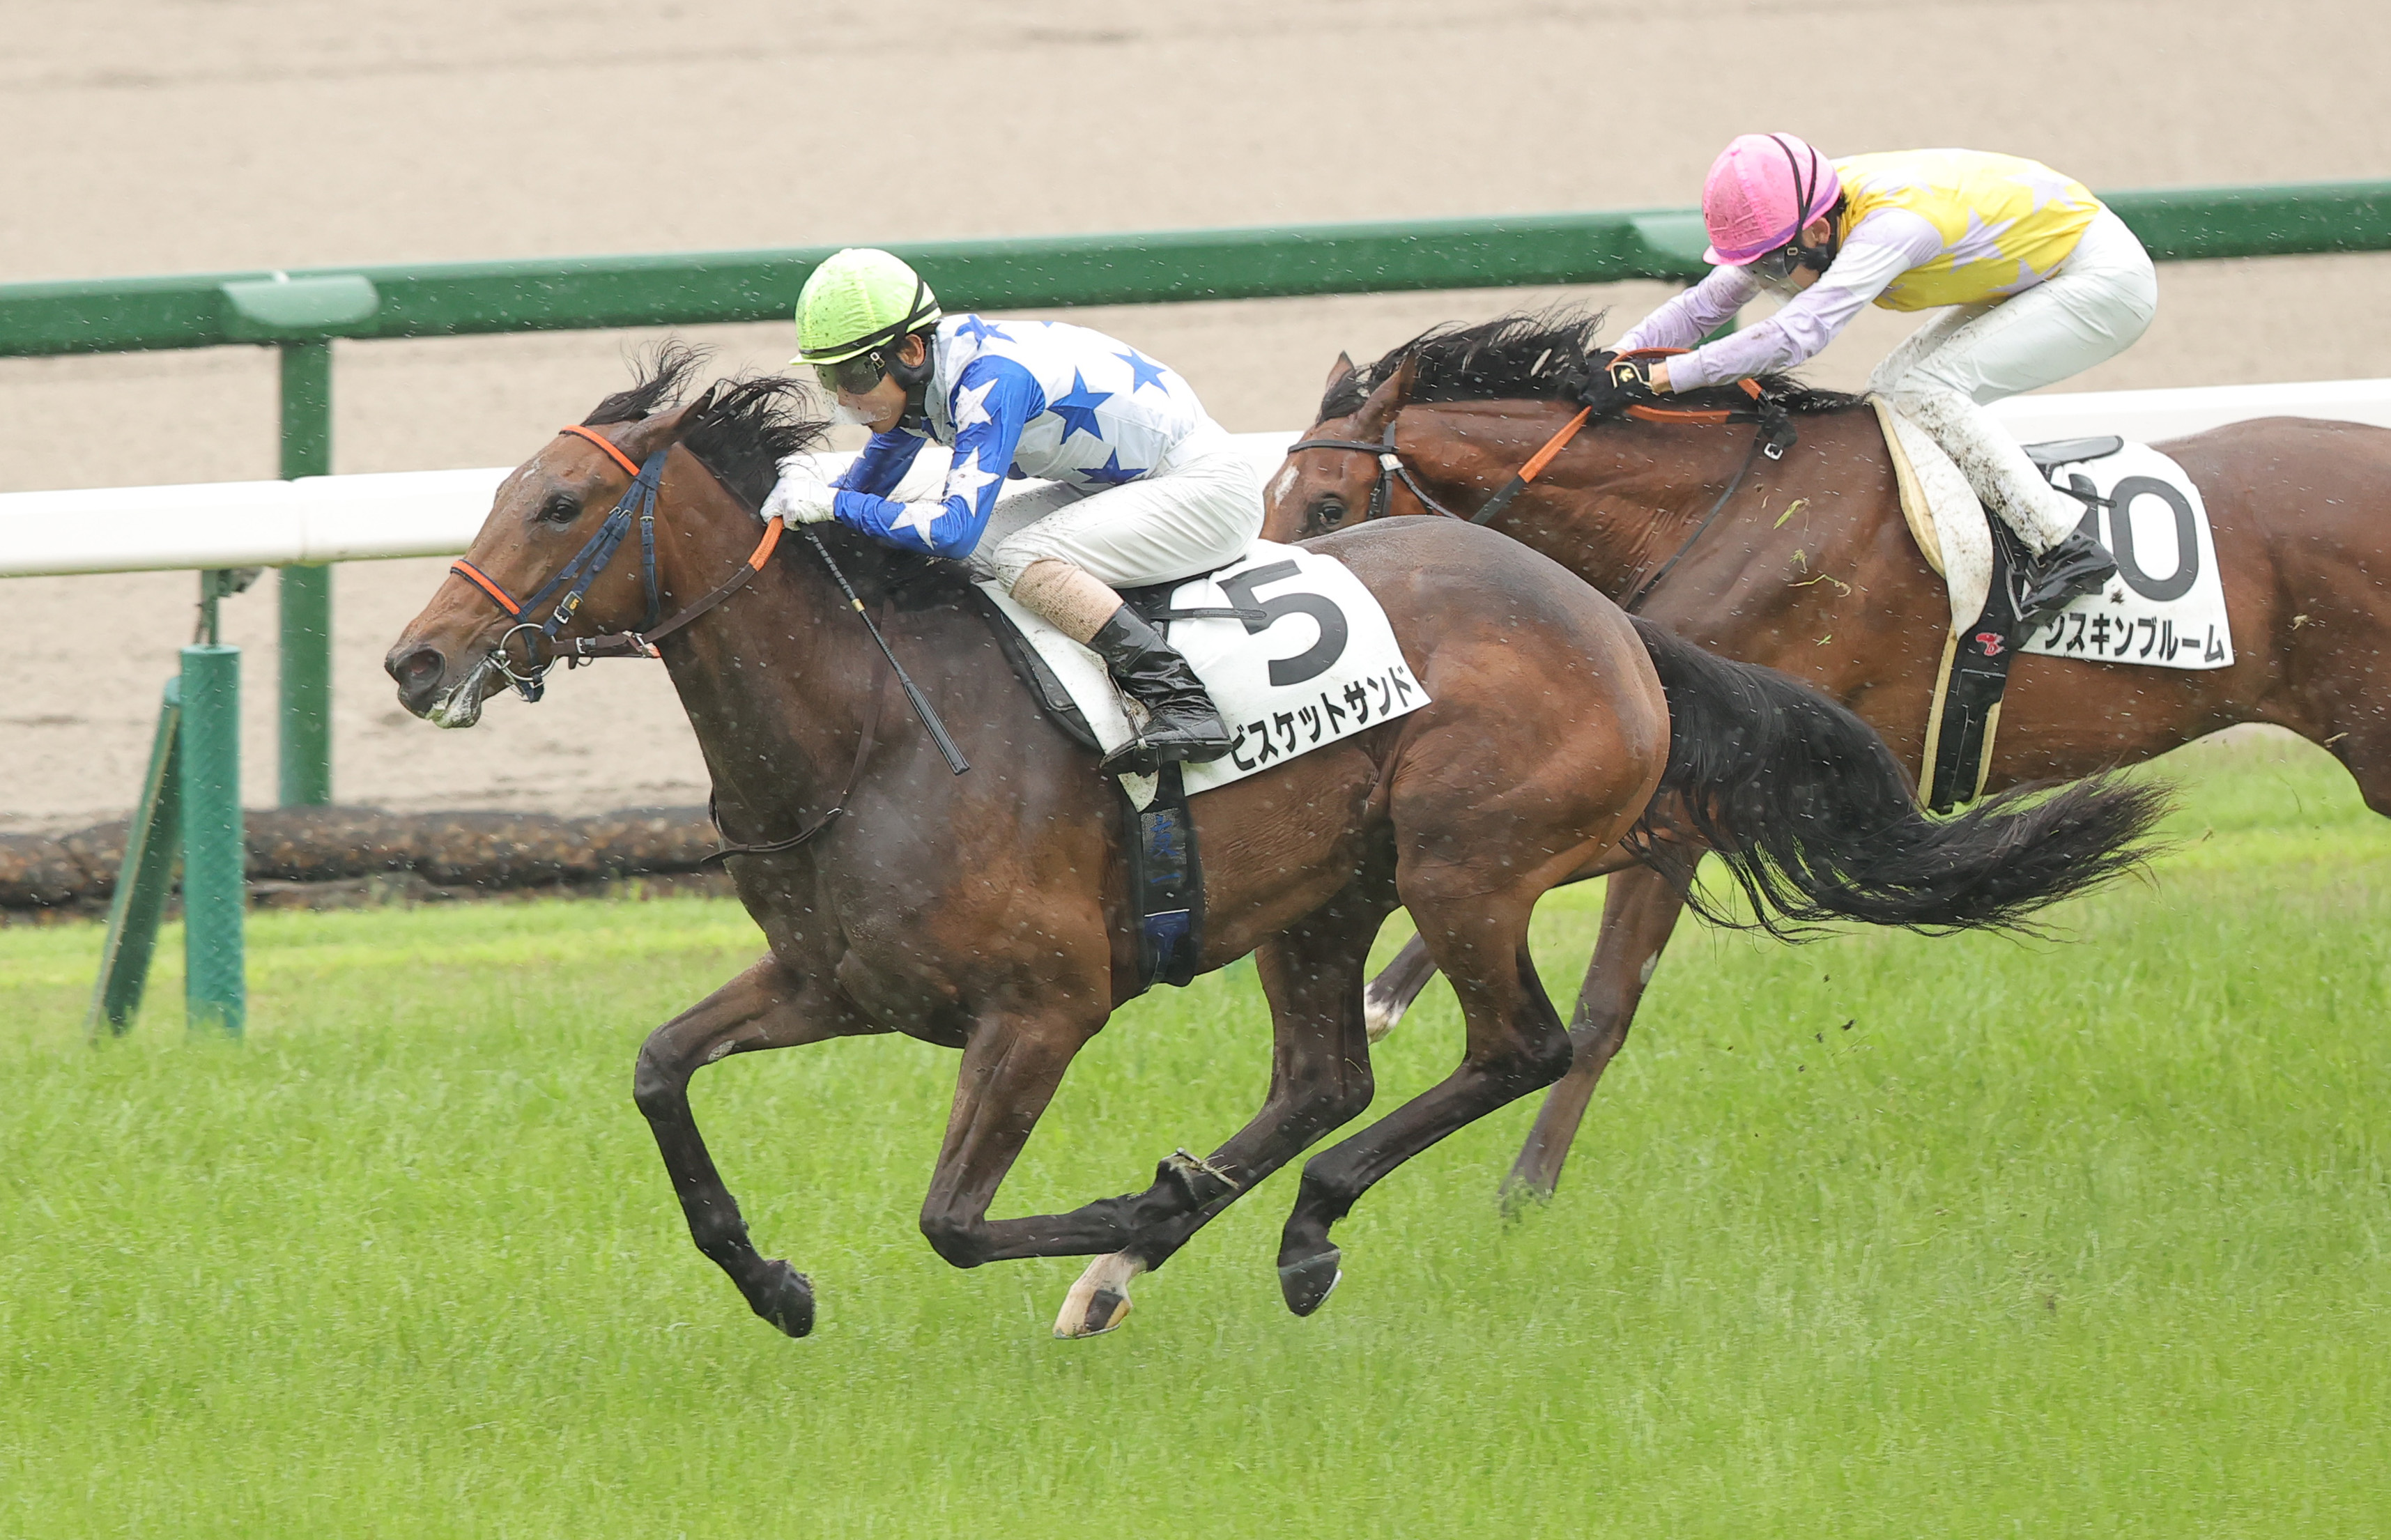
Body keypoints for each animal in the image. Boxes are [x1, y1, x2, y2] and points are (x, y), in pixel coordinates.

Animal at [384, 346, 2163, 1339]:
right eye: (506, 492)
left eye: (559, 507)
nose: (413, 658)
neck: (869, 730)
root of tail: (1611, 620)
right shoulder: (832, 983)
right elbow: (658, 1073)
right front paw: (773, 1282)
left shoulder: (1042, 1007)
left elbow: (951, 1216)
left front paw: (1128, 1200)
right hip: (1321, 894)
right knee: (1329, 1074)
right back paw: (1167, 1249)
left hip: (1468, 861)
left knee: (1517, 1044)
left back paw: (1273, 1226)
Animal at [1263, 309, 2391, 1205]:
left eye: (1328, 504)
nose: (1292, 631)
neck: (1713, 514)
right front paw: (1389, 995)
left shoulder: (1717, 780)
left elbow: (1600, 996)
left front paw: (1519, 1188)